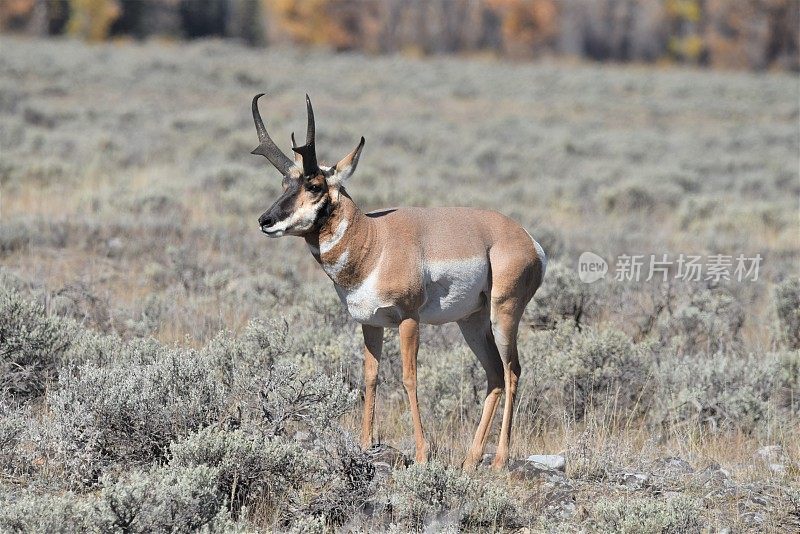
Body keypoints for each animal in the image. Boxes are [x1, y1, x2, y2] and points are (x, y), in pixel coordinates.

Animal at [253, 94, 548, 472]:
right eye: (284, 185)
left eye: (315, 185)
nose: (266, 220)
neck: (374, 240)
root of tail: (527, 239)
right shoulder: (369, 323)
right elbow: (370, 376)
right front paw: (365, 444)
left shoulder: (409, 319)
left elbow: (409, 377)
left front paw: (422, 453)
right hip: (471, 322)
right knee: (495, 375)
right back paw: (470, 459)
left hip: (503, 315)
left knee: (512, 372)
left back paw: (499, 460)